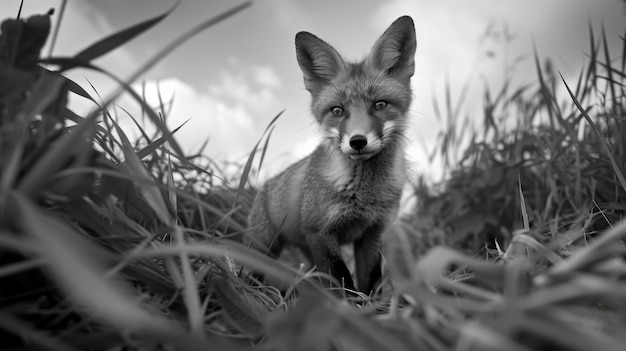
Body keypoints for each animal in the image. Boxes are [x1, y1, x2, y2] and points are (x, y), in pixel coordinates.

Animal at [245, 15, 414, 294]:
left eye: (380, 105)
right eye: (337, 110)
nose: (357, 141)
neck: (364, 195)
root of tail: (265, 185)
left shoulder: (372, 233)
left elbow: (370, 281)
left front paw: (371, 305)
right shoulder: (320, 233)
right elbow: (343, 280)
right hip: (265, 248)